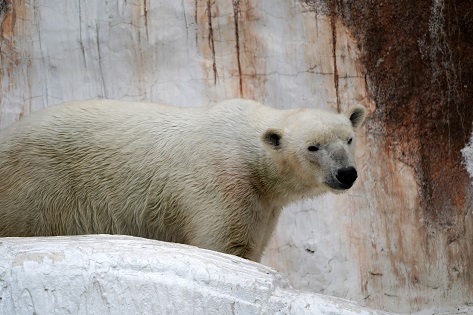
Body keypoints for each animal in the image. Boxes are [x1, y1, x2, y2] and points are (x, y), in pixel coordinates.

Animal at [0, 99, 366, 262]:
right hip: (35, 186)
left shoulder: (262, 202)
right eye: (312, 147)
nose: (346, 174)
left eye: (348, 139)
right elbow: (226, 245)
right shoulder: (224, 183)